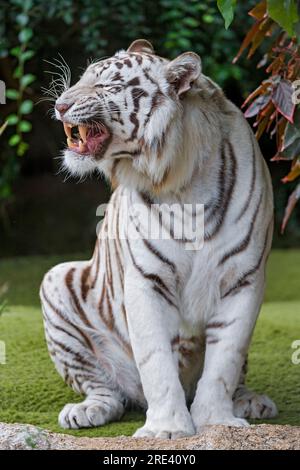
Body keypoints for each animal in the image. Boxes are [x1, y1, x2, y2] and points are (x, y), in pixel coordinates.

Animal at [39, 39, 276, 436]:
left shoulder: (243, 279)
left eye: (106, 85)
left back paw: (251, 401)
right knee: (106, 389)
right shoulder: (146, 280)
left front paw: (215, 420)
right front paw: (166, 428)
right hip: (57, 281)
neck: (182, 179)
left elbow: (224, 361)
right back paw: (86, 410)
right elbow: (156, 362)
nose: (60, 106)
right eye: (84, 78)